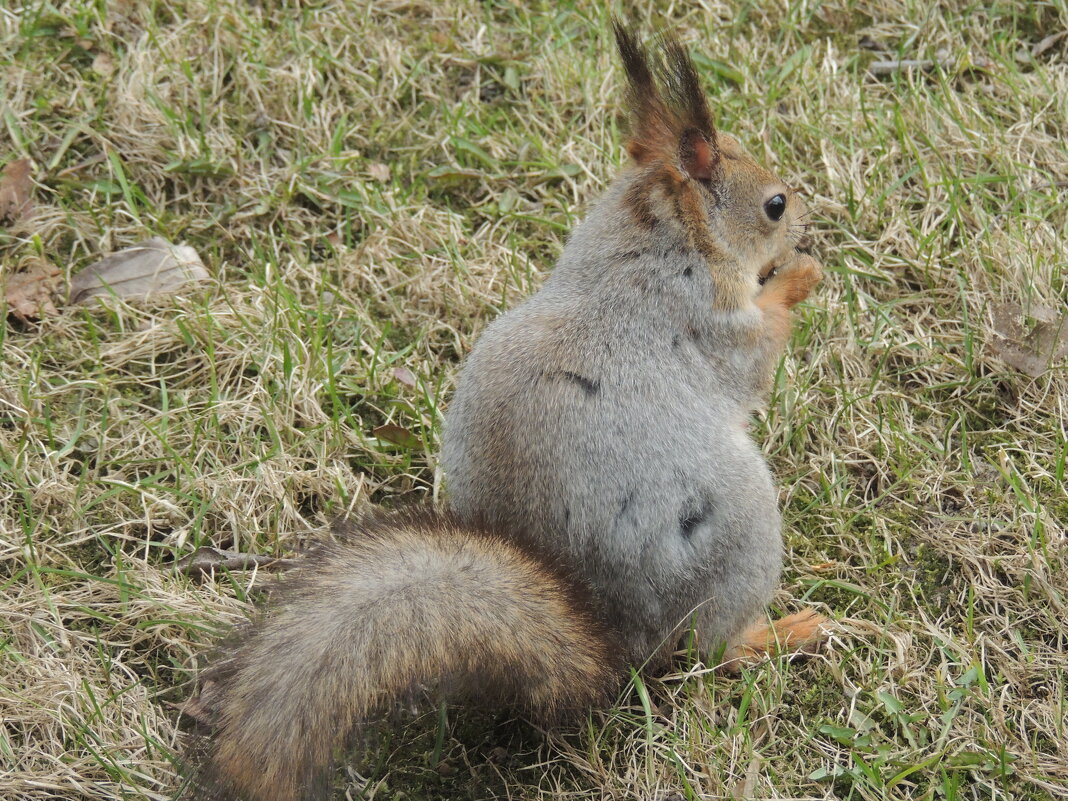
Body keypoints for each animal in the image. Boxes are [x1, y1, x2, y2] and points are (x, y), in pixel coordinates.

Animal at [185, 23, 824, 801]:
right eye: (774, 204)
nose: (807, 215)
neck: (658, 236)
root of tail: (611, 638)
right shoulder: (713, 322)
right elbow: (758, 355)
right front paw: (799, 277)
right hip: (739, 533)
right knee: (714, 650)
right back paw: (783, 631)